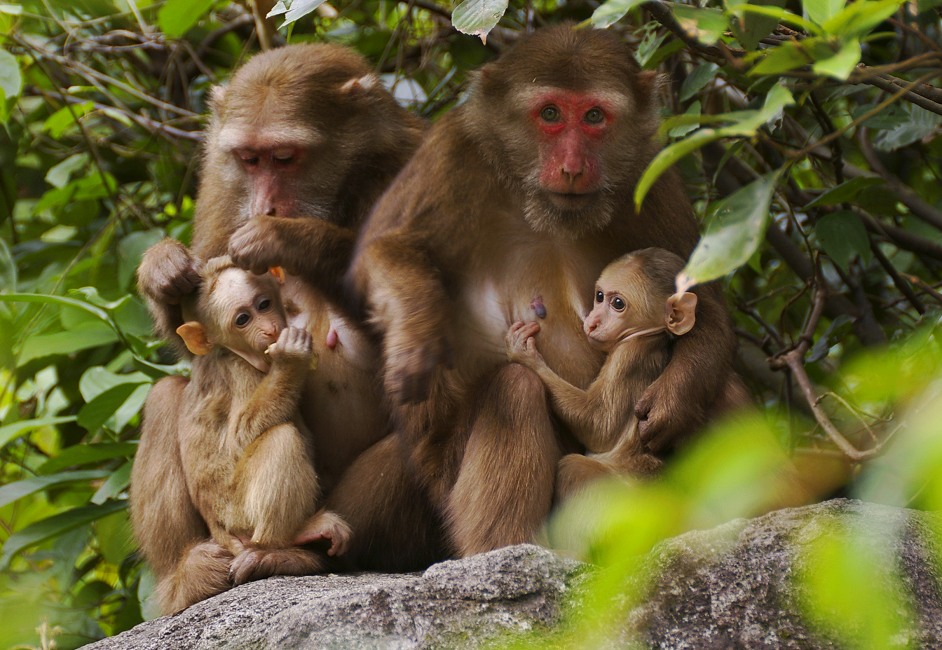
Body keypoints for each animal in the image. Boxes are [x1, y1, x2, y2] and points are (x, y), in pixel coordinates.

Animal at [166, 256, 350, 612]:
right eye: (242, 319)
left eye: (263, 304)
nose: (269, 329)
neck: (234, 353)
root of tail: (218, 529)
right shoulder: (242, 373)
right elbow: (240, 436)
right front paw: (291, 359)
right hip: (239, 516)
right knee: (282, 438)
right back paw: (287, 541)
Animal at [508, 246, 752, 498]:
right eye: (599, 296)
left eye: (617, 303)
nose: (592, 322)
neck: (648, 336)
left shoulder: (627, 356)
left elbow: (599, 427)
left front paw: (526, 354)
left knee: (572, 467)